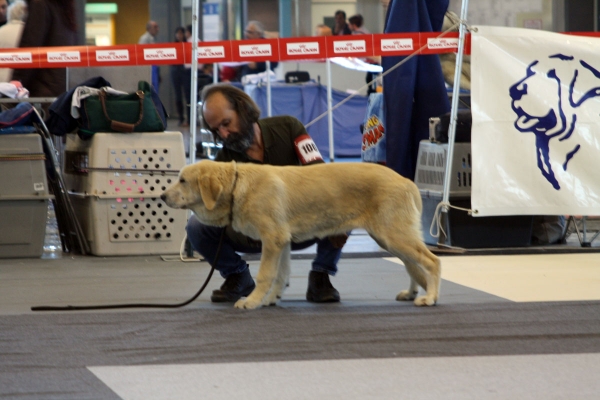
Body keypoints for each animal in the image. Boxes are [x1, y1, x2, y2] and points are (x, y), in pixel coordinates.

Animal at [159, 159, 440, 310]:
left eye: (182, 181)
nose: (161, 196)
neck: (238, 187)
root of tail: (406, 180)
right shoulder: (282, 242)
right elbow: (280, 275)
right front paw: (272, 299)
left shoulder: (271, 239)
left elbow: (265, 275)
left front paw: (252, 301)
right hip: (390, 238)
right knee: (413, 265)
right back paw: (413, 293)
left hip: (394, 235)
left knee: (432, 261)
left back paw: (430, 297)